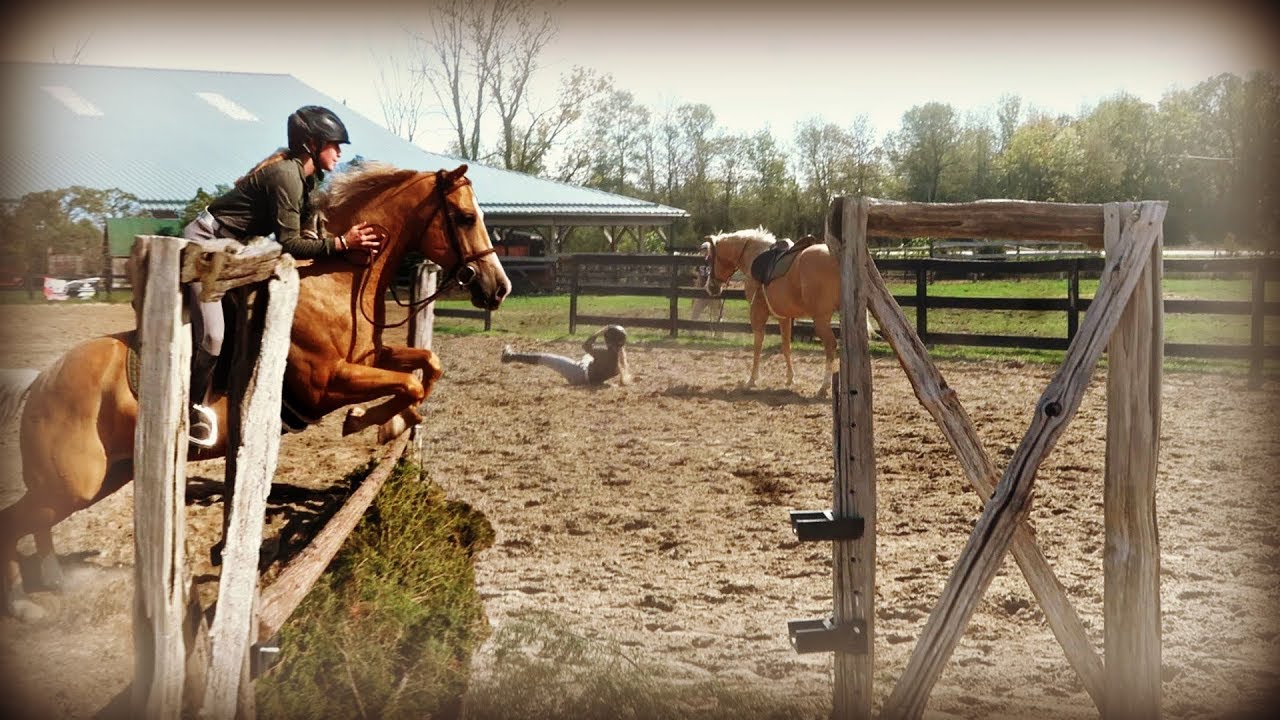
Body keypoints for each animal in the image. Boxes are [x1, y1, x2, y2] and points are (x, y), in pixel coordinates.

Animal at [0, 162, 511, 619]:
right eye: (466, 217)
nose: (498, 289)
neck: (338, 280)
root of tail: (40, 383)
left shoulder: (368, 360)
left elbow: (428, 366)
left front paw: (395, 422)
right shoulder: (326, 385)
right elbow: (408, 383)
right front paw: (368, 422)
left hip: (103, 479)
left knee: (31, 520)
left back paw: (51, 580)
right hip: (74, 485)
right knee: (15, 520)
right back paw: (24, 602)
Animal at [702, 227, 842, 396]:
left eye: (710, 258)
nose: (711, 287)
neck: (753, 255)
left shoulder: (757, 313)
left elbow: (757, 345)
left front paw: (752, 380)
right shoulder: (784, 317)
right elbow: (786, 347)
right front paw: (790, 379)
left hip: (821, 318)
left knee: (830, 346)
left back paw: (824, 386)